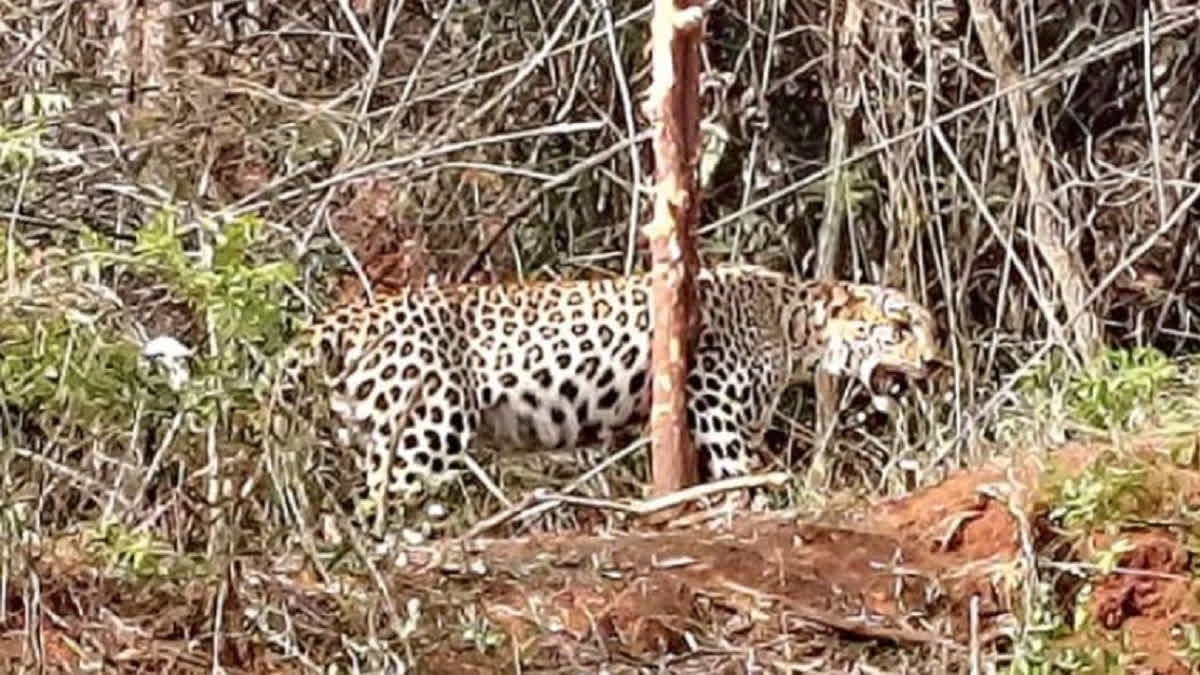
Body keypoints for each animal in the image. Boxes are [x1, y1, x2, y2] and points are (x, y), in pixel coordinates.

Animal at [266, 263, 941, 530]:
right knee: (374, 507)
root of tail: (359, 313)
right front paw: (751, 510)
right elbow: (739, 475)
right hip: (425, 430)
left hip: (371, 428)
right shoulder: (718, 406)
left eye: (930, 329)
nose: (934, 362)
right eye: (899, 327)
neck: (795, 323)